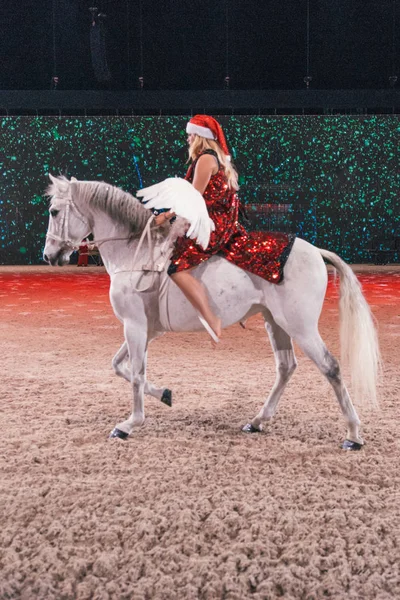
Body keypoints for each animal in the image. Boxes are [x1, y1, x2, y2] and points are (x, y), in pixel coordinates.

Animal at [44, 176, 382, 448]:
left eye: (54, 212)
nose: (49, 256)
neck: (135, 253)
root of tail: (315, 251)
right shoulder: (146, 329)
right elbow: (119, 366)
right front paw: (164, 394)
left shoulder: (135, 325)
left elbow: (136, 373)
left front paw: (130, 424)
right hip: (276, 323)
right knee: (286, 367)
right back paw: (257, 421)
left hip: (301, 327)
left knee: (331, 368)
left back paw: (353, 434)